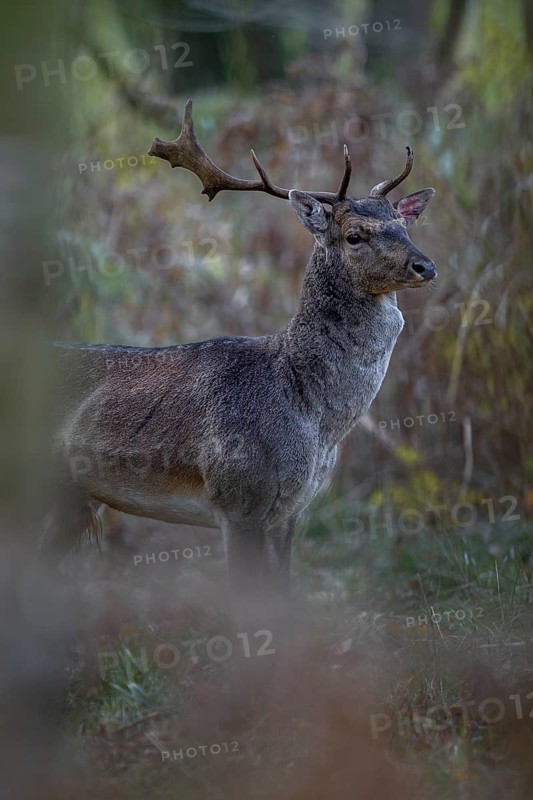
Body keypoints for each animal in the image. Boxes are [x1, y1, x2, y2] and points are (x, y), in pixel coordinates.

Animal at [45, 100, 436, 609]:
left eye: (403, 225)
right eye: (354, 235)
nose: (425, 266)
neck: (312, 416)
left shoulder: (291, 510)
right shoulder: (238, 497)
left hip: (71, 497)